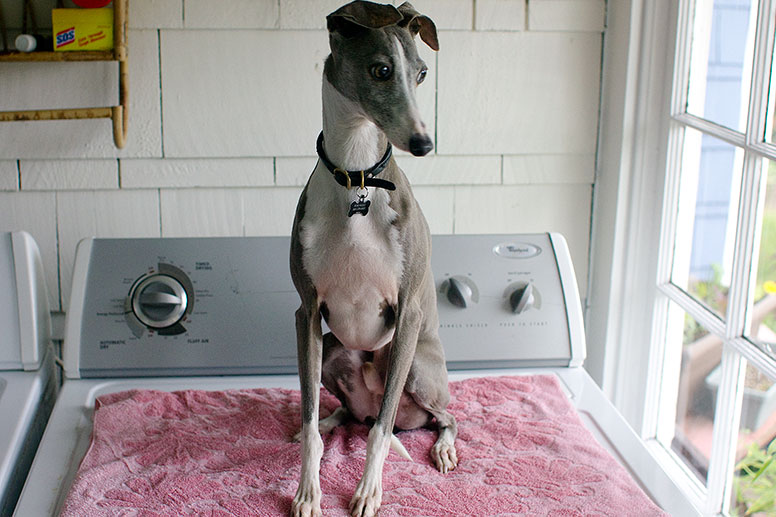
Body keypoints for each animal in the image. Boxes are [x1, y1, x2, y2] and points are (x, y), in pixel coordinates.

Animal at [290, 2, 460, 512]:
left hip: (416, 366)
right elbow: (308, 419)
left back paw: (442, 448)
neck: (358, 178)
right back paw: (335, 420)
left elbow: (380, 434)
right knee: (349, 414)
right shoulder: (307, 313)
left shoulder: (407, 314)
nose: (424, 144)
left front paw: (367, 493)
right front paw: (308, 492)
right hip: (331, 349)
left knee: (439, 418)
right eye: (381, 70)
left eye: (422, 73)